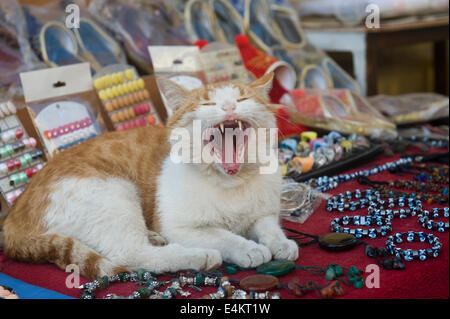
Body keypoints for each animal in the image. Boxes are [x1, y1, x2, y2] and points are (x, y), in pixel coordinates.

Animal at [0, 74, 298, 280]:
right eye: (208, 102)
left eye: (243, 98)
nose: (228, 106)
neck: (229, 180)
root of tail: (13, 216)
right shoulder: (179, 228)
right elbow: (222, 235)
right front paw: (247, 247)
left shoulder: (264, 214)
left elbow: (269, 228)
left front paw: (281, 243)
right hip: (113, 193)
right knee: (132, 253)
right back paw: (198, 256)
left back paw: (154, 237)